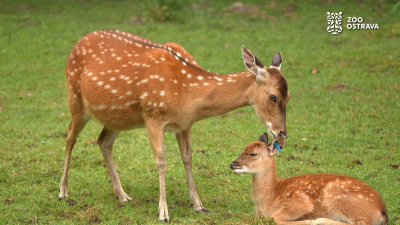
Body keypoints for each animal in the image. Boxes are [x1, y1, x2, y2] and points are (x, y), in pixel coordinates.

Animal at [59, 29, 290, 221]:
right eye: (273, 96)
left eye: (289, 97)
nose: (281, 134)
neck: (187, 94)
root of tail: (77, 44)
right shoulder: (153, 116)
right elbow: (161, 161)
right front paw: (163, 212)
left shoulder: (185, 124)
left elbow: (187, 157)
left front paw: (198, 205)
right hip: (75, 98)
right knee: (70, 135)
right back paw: (63, 190)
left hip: (117, 117)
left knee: (103, 141)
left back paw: (122, 195)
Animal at [230, 133, 390, 224]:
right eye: (242, 149)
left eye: (253, 153)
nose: (232, 164)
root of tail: (382, 212)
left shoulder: (300, 201)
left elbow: (274, 218)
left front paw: (307, 221)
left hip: (339, 196)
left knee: (361, 222)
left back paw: (320, 220)